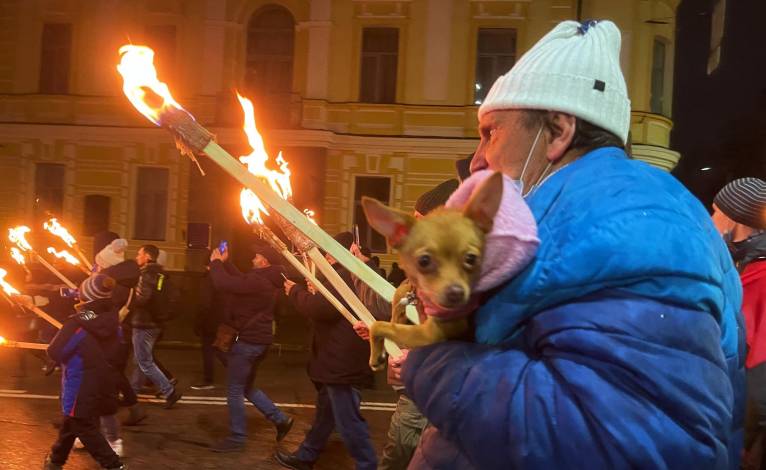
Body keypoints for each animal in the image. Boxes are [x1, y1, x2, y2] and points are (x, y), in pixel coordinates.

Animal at [362, 171, 508, 370]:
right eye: (424, 261)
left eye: (471, 259)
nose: (456, 293)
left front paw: (376, 353)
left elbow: (379, 325)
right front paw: (380, 351)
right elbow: (394, 309)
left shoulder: (429, 334)